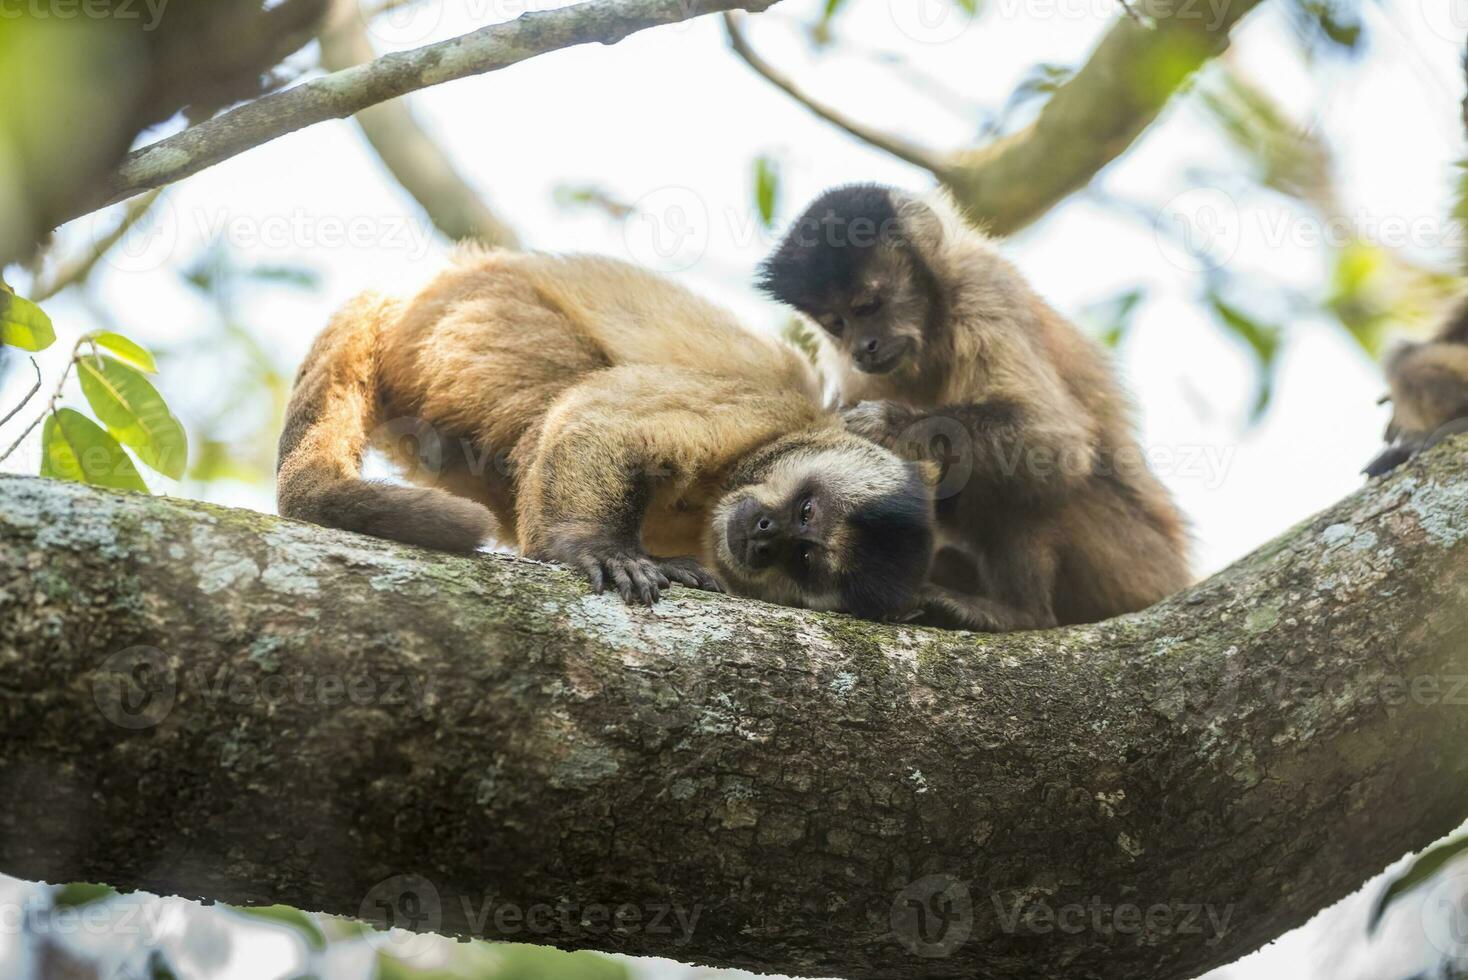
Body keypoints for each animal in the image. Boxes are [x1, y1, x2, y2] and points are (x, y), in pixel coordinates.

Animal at [275, 250, 939, 619]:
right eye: (805, 511)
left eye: (802, 556)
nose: (763, 534)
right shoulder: (761, 412)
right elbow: (601, 416)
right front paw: (594, 546)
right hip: (469, 319)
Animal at [757, 182, 1192, 627]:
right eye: (836, 324)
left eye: (867, 307)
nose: (863, 347)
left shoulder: (983, 287)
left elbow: (1055, 442)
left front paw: (889, 424)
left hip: (1132, 564)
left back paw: (1020, 615)